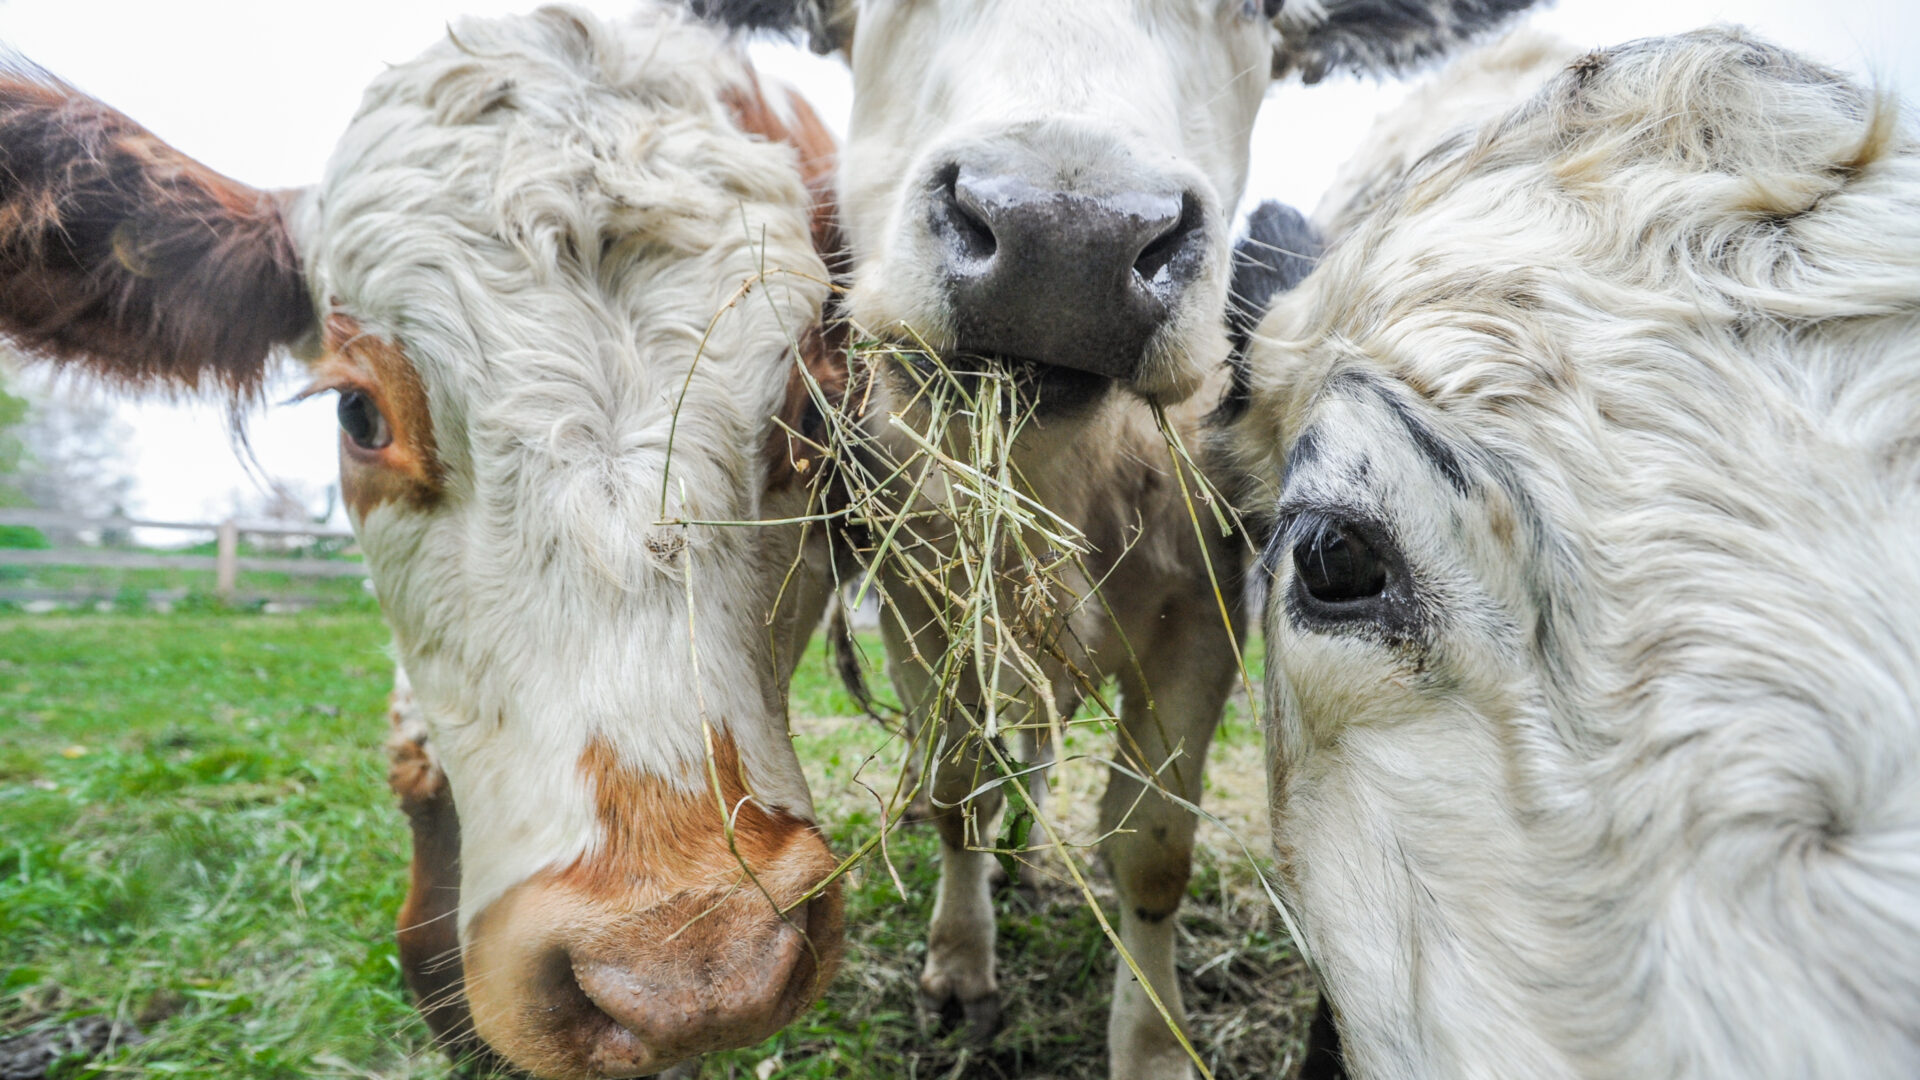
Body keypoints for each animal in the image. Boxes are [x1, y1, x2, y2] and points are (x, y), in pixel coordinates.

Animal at [682, 2, 1548, 1076]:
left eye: (1255, 16)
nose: (1067, 245)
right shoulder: (928, 609)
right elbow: (959, 789)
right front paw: (960, 967)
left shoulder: (1203, 620)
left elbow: (1153, 847)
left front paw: (1149, 1038)